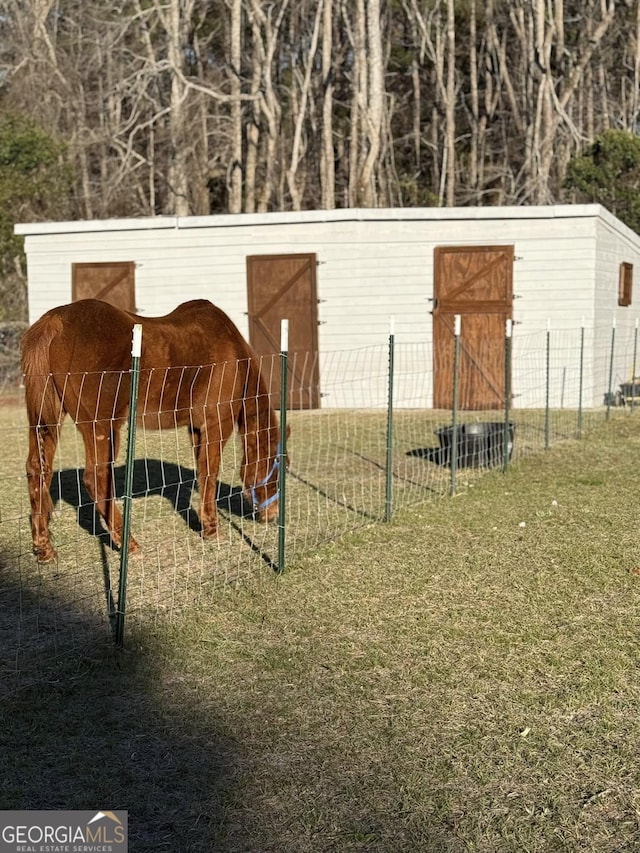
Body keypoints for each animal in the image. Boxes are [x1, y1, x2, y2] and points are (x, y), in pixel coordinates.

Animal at [20, 296, 284, 564]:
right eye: (278, 467)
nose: (272, 515)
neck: (235, 354)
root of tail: (56, 321)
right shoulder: (217, 423)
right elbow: (210, 472)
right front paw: (211, 529)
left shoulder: (196, 430)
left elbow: (202, 472)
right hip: (102, 427)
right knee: (96, 478)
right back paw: (129, 544)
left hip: (47, 420)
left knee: (38, 470)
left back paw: (45, 549)